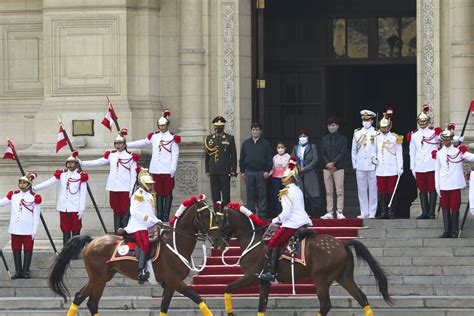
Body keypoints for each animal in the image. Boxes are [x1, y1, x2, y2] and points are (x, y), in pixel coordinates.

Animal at [48, 200, 220, 316]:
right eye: (205, 214)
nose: (219, 239)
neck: (175, 243)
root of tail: (93, 240)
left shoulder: (169, 284)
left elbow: (165, 306)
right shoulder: (174, 281)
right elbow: (197, 297)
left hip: (99, 278)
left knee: (80, 298)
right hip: (99, 278)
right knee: (92, 302)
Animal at [215, 205, 392, 316]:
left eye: (220, 223)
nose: (217, 243)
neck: (254, 238)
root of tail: (342, 243)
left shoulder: (252, 276)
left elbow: (228, 287)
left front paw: (230, 312)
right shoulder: (263, 281)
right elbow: (261, 305)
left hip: (321, 279)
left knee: (325, 305)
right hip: (343, 277)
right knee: (362, 298)